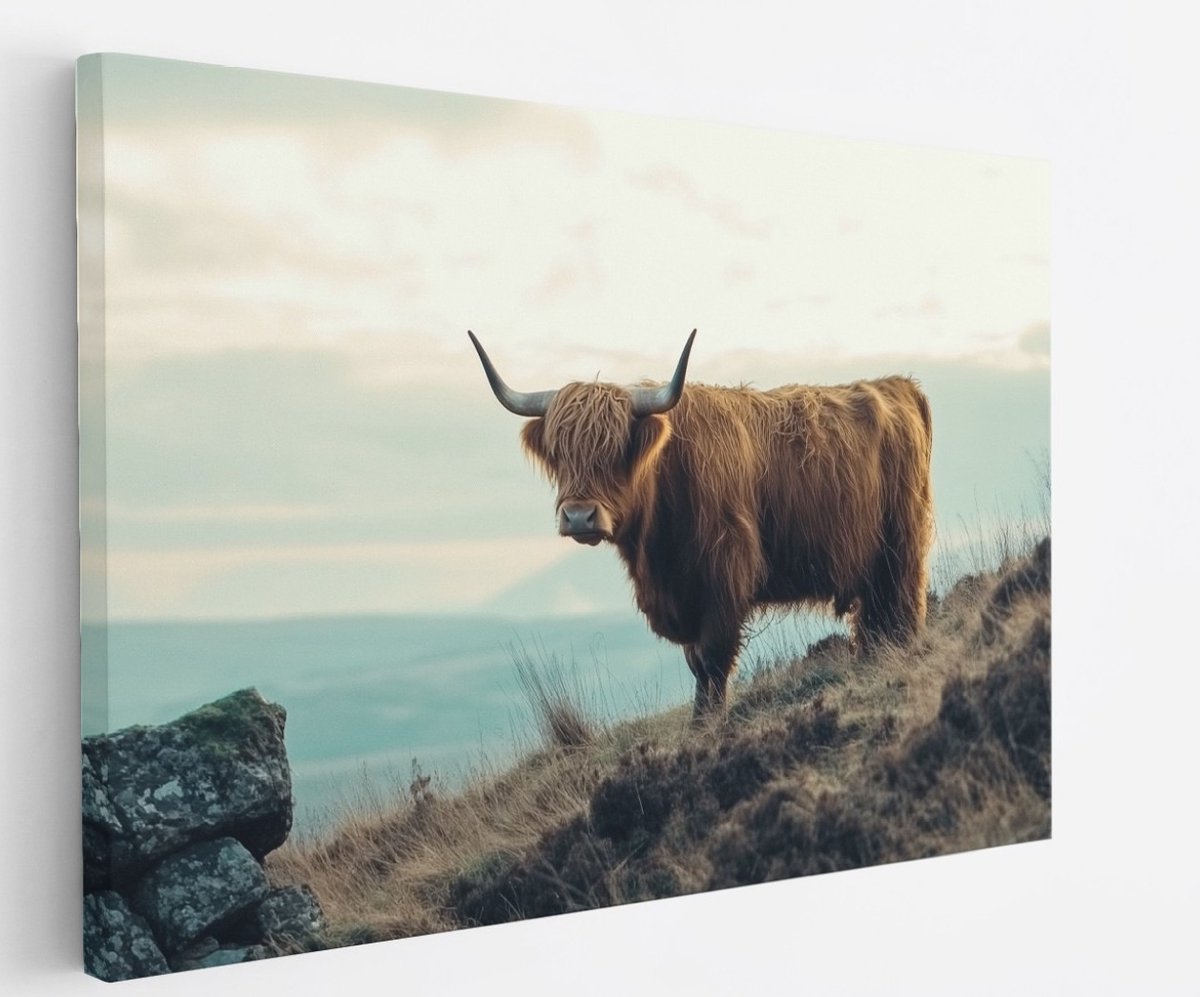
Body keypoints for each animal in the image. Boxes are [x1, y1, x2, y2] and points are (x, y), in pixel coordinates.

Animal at [469, 329, 934, 720]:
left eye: (617, 449)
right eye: (560, 452)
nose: (579, 516)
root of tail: (897, 384)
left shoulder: (725, 577)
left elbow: (712, 657)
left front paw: (710, 720)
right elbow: (695, 662)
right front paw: (698, 719)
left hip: (901, 543)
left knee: (902, 607)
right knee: (873, 618)